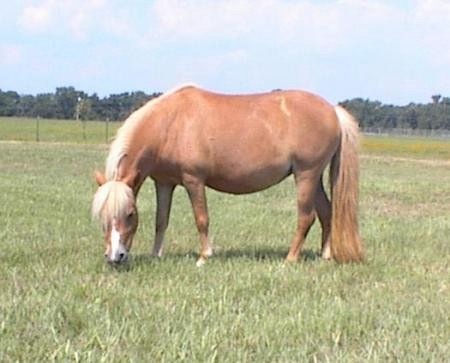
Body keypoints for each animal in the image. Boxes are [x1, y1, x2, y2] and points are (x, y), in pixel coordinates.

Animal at [91, 85, 362, 268]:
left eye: (130, 214)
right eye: (102, 216)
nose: (115, 257)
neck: (170, 124)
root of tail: (333, 110)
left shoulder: (193, 180)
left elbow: (201, 219)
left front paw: (203, 257)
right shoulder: (165, 183)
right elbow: (161, 220)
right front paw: (156, 255)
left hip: (306, 175)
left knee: (306, 217)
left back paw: (290, 258)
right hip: (314, 178)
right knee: (327, 212)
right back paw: (325, 256)